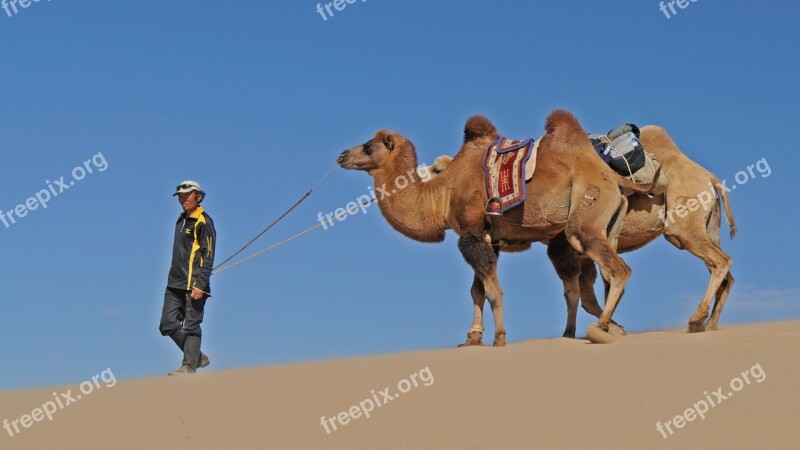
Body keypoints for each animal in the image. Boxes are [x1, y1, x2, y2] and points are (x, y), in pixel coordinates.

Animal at [338, 110, 656, 346]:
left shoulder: (471, 233)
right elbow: (476, 290)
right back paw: (591, 331)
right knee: (593, 279)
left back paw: (600, 328)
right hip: (607, 223)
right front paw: (471, 339)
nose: (341, 155)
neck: (442, 194)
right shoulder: (487, 237)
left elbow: (492, 290)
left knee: (617, 270)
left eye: (368, 145)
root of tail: (613, 178)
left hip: (585, 216)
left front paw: (499, 338)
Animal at [424, 126, 736, 338]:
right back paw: (710, 324)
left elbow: (582, 293)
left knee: (721, 261)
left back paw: (696, 319)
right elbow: (588, 291)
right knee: (724, 272)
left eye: (438, 170)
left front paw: (584, 332)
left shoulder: (562, 242)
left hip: (683, 227)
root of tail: (710, 178)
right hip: (708, 226)